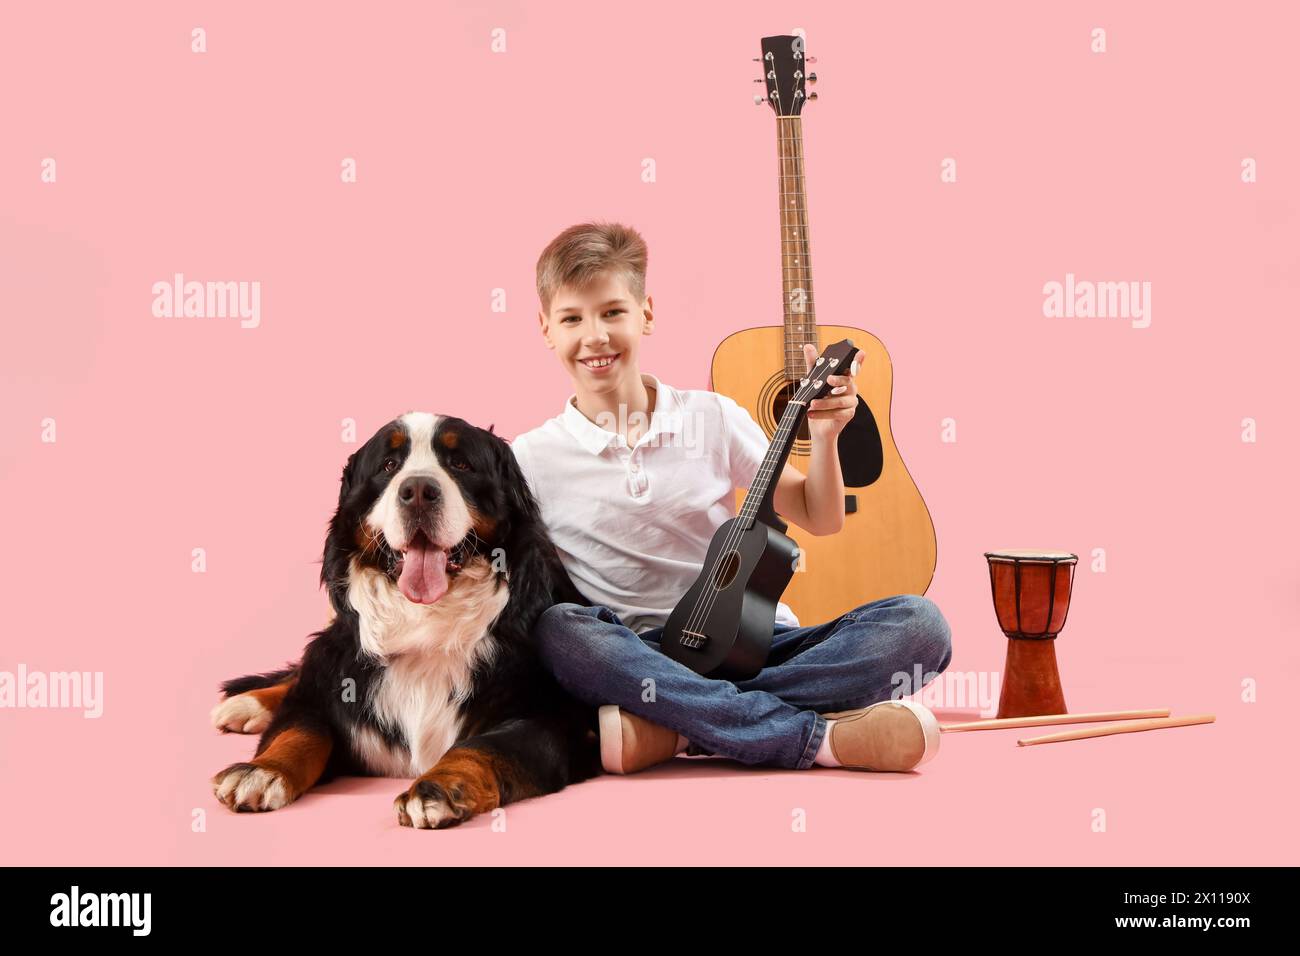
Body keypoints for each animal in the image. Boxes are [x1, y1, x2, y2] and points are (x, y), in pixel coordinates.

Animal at [210, 413, 600, 832]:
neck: (426, 626)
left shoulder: (554, 718)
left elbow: (481, 746)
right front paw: (261, 771)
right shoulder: (331, 681)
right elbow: (300, 729)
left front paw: (437, 787)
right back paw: (247, 705)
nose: (417, 490)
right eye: (388, 465)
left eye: (460, 464)